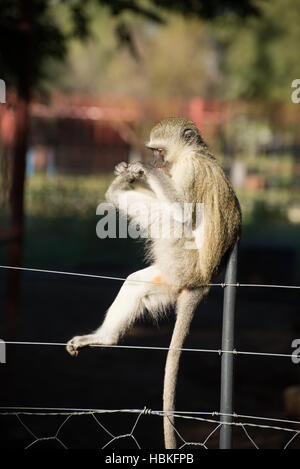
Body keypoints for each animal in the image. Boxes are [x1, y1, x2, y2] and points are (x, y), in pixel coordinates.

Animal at [66, 117, 241, 446]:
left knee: (168, 217)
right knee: (136, 282)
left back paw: (118, 191)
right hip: (171, 276)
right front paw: (131, 172)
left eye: (158, 151)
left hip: (180, 258)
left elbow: (184, 213)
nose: (158, 163)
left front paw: (144, 170)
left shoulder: (190, 171)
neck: (191, 154)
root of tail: (204, 280)